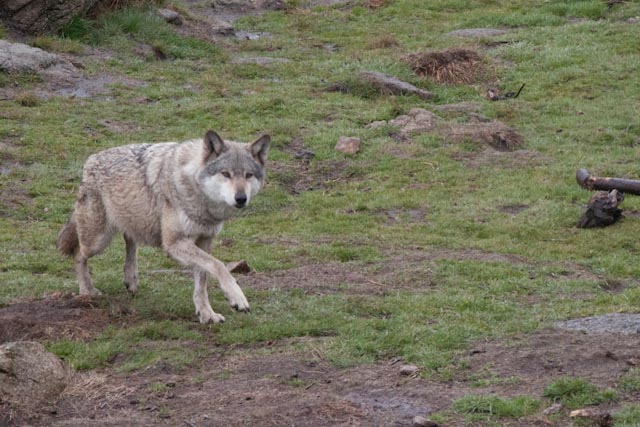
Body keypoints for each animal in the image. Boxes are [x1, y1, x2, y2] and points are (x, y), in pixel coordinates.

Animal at [57, 130, 270, 324]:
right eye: (226, 174)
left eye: (248, 175)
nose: (241, 198)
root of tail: (90, 160)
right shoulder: (174, 243)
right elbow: (219, 266)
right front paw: (236, 297)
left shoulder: (204, 241)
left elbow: (202, 280)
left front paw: (206, 314)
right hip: (97, 241)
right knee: (78, 254)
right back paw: (87, 291)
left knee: (129, 238)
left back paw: (131, 279)